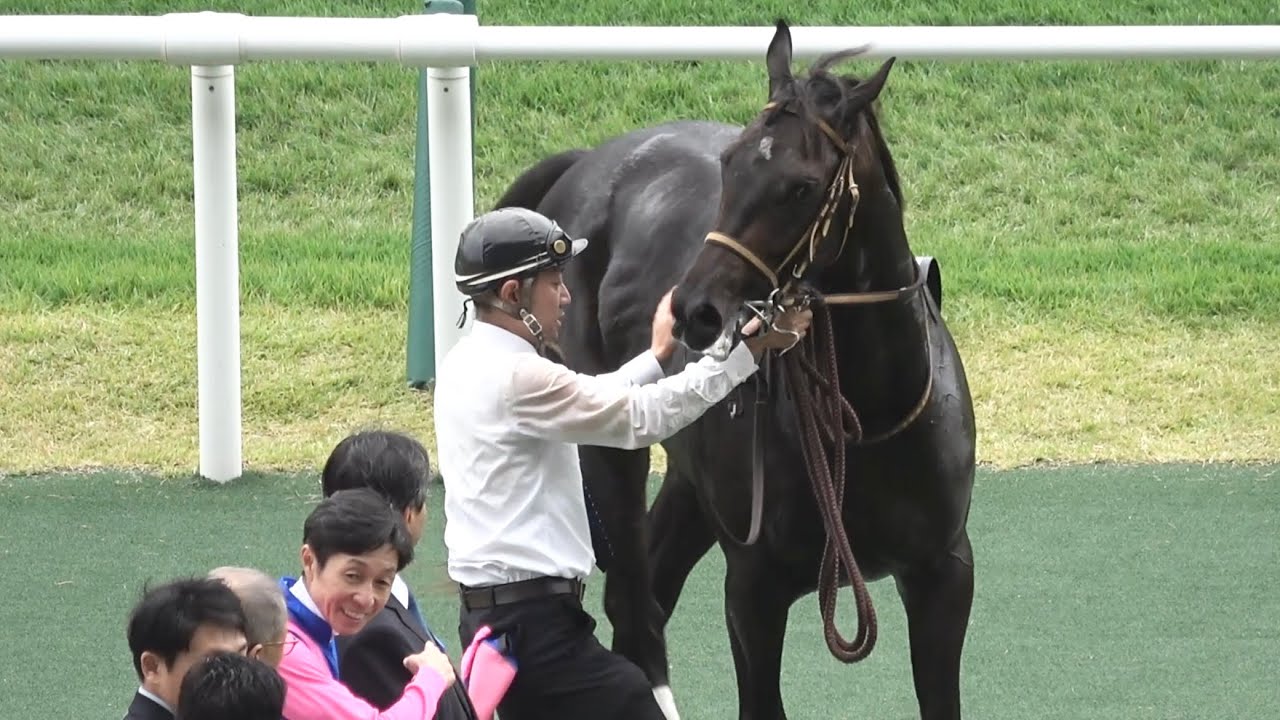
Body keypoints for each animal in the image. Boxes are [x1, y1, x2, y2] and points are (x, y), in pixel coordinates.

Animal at [489, 20, 977, 720]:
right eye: (730, 164)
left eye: (802, 186)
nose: (694, 310)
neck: (863, 426)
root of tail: (586, 164)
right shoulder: (753, 588)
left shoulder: (943, 573)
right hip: (604, 448)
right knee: (634, 606)